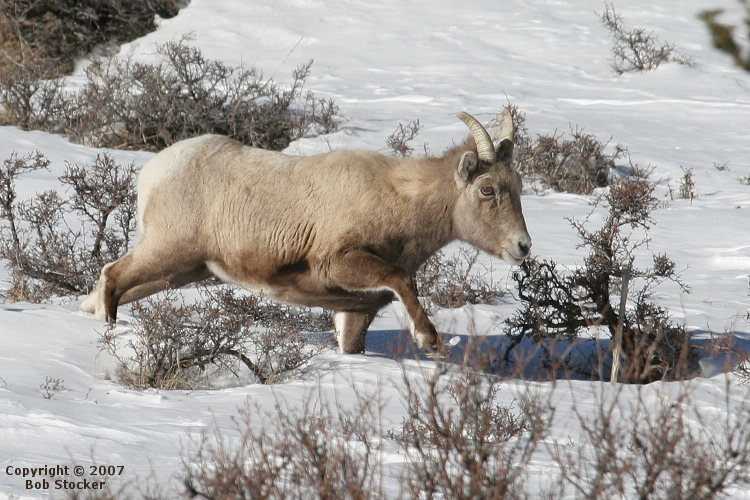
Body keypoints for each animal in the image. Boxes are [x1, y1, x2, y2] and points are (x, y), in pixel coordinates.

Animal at [81, 110, 531, 354]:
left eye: (518, 185)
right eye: (487, 189)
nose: (522, 247)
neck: (399, 199)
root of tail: (152, 173)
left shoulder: (356, 311)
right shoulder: (339, 263)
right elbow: (403, 280)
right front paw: (431, 341)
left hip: (182, 270)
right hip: (167, 252)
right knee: (111, 276)